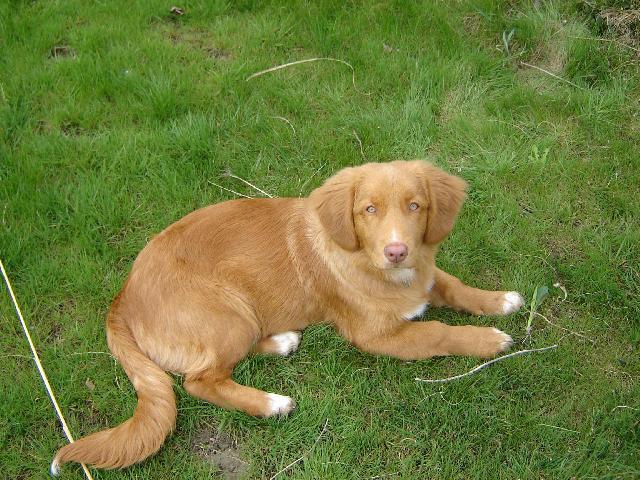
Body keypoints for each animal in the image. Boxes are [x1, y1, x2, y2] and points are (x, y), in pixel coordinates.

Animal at [51, 160, 524, 472]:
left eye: (415, 206)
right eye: (368, 209)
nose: (397, 251)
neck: (376, 267)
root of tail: (122, 297)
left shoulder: (426, 277)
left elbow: (454, 286)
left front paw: (499, 300)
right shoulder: (377, 335)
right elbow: (439, 331)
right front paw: (489, 340)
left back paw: (281, 342)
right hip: (229, 313)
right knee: (200, 380)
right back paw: (270, 403)